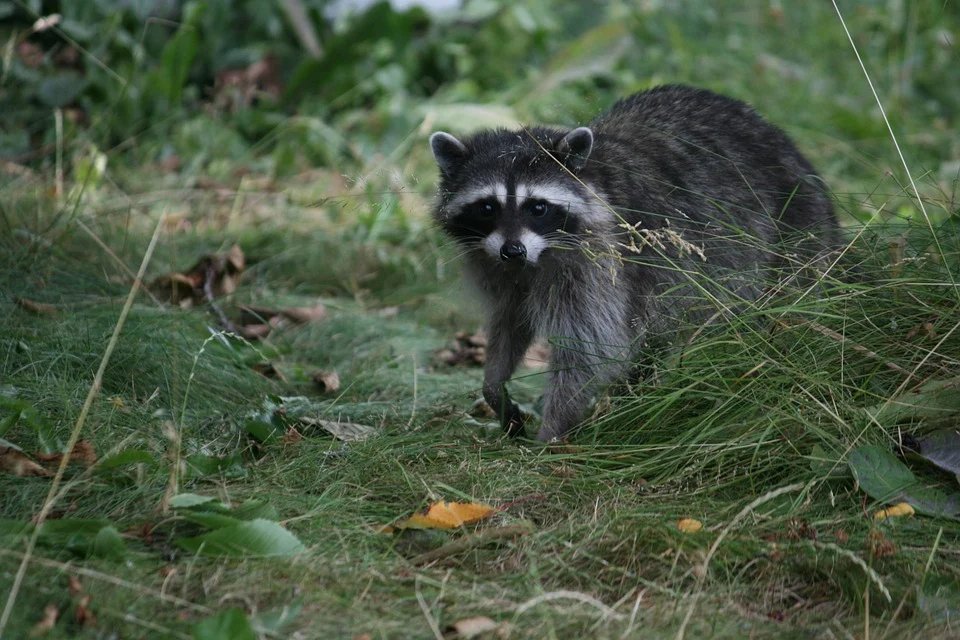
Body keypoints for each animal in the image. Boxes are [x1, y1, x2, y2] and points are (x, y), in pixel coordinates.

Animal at [432, 85, 836, 442]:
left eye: (538, 207)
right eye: (488, 207)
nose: (512, 250)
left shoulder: (601, 262)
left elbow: (589, 346)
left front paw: (553, 429)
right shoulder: (497, 268)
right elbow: (510, 320)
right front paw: (494, 388)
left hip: (793, 236)